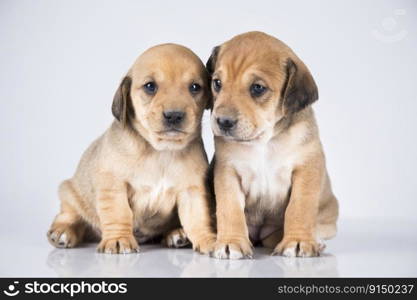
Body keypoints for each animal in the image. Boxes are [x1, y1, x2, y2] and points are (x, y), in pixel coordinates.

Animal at [48, 43, 214, 254]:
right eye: (150, 86)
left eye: (195, 87)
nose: (174, 115)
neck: (161, 151)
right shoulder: (114, 185)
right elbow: (119, 213)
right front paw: (119, 239)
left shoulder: (192, 190)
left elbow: (198, 219)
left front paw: (209, 240)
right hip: (69, 193)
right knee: (69, 216)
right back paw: (62, 232)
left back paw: (177, 235)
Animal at [206, 32, 338, 258]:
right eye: (217, 83)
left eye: (258, 88)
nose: (223, 122)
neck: (264, 141)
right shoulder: (227, 171)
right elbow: (230, 209)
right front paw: (230, 242)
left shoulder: (307, 166)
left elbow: (300, 207)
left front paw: (298, 241)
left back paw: (317, 241)